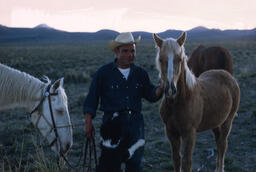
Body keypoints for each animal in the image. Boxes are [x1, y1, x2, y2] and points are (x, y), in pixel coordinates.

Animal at [154, 32, 240, 172]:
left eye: (179, 59)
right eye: (161, 59)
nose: (171, 89)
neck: (181, 101)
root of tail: (228, 76)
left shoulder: (189, 134)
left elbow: (187, 163)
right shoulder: (171, 132)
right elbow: (176, 159)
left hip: (227, 121)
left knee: (223, 144)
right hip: (215, 122)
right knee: (218, 141)